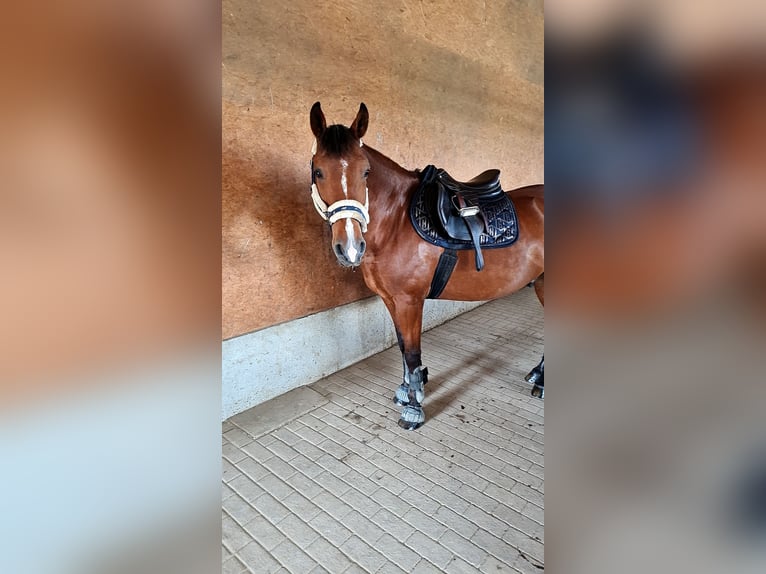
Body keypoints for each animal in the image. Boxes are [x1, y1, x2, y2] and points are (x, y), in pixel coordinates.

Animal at [308, 102, 544, 430]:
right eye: (318, 171)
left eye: (365, 171)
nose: (351, 248)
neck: (396, 222)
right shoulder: (391, 299)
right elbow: (401, 347)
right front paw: (408, 390)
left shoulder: (410, 301)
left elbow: (412, 352)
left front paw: (414, 408)